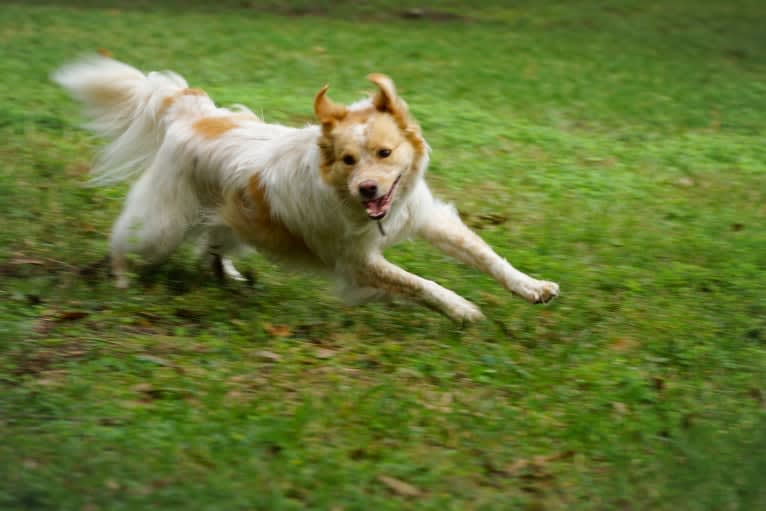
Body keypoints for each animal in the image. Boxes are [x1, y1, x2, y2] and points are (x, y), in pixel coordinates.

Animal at [52, 56, 560, 320]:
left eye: (385, 153)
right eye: (348, 160)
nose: (368, 190)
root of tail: (192, 113)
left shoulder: (426, 217)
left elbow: (487, 256)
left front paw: (532, 287)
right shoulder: (356, 262)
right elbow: (421, 282)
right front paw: (461, 308)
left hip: (237, 219)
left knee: (213, 243)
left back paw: (228, 276)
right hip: (163, 225)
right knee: (125, 237)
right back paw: (119, 277)